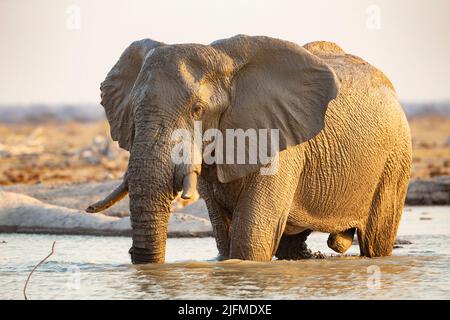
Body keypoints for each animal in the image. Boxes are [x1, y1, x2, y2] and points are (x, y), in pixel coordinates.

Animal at [87, 35, 412, 264]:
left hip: (395, 158)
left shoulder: (280, 143)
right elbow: (225, 236)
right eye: (133, 112)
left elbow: (249, 243)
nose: (134, 257)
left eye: (197, 110)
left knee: (376, 241)